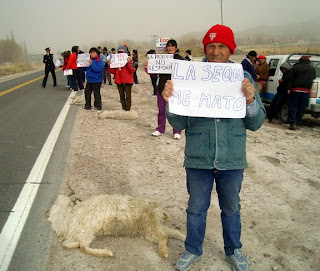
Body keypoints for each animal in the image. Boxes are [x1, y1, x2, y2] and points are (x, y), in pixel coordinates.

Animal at [47, 193, 185, 260]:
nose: (76, 199)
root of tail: (159, 210)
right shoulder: (85, 233)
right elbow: (70, 245)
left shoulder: (87, 231)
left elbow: (83, 248)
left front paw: (107, 253)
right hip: (147, 227)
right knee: (169, 233)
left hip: (149, 223)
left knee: (164, 235)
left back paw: (163, 252)